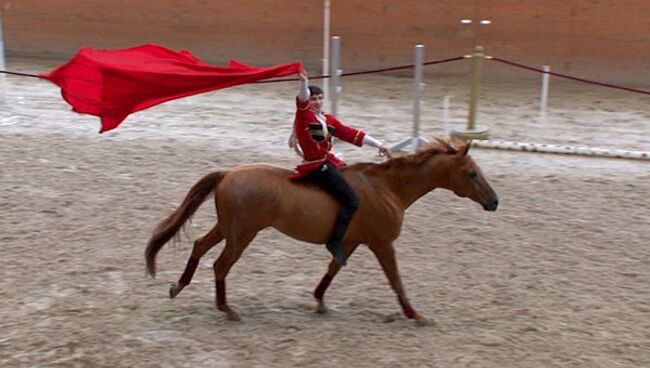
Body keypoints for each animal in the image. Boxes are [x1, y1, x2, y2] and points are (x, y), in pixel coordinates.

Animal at [144, 139, 496, 324]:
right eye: (471, 173)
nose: (494, 201)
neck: (388, 188)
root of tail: (228, 173)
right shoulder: (382, 244)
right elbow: (395, 280)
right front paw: (414, 314)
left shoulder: (350, 241)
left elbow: (333, 268)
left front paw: (319, 302)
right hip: (242, 234)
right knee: (220, 264)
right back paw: (226, 309)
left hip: (227, 228)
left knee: (199, 246)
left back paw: (178, 286)